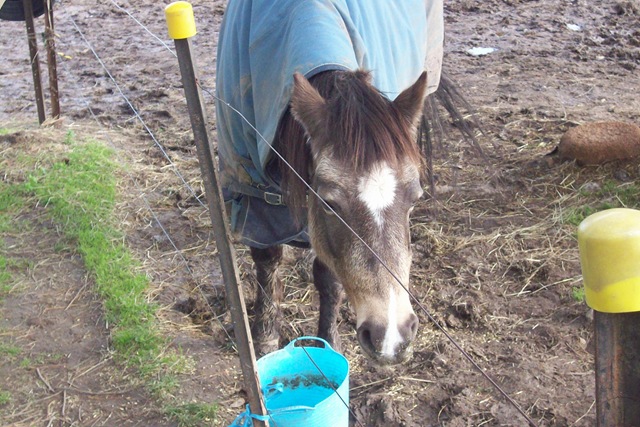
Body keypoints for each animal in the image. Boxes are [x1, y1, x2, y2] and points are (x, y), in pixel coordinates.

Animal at [215, 0, 465, 365]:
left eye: (415, 198)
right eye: (329, 204)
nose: (391, 338)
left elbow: (329, 278)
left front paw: (329, 341)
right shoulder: (256, 194)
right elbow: (268, 260)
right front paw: (264, 337)